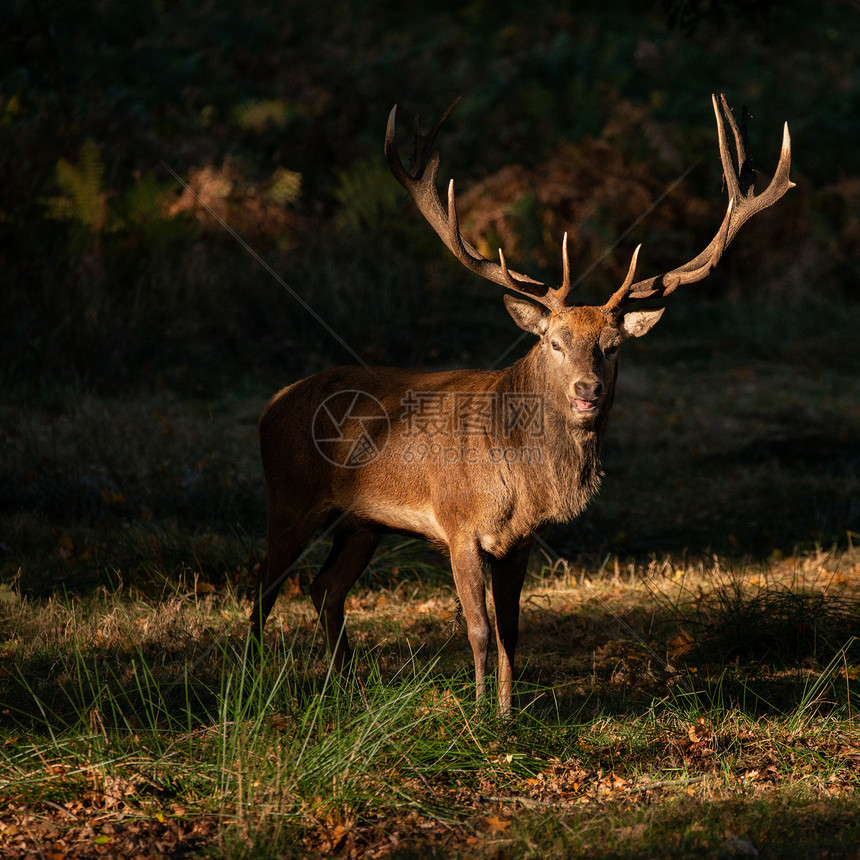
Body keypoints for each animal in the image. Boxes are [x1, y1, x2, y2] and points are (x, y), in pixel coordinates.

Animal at [252, 94, 796, 716]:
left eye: (612, 346)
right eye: (555, 342)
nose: (588, 389)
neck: (519, 479)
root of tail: (271, 406)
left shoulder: (520, 541)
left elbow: (512, 629)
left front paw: (510, 713)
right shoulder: (458, 524)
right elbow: (478, 629)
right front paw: (477, 714)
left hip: (363, 522)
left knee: (324, 588)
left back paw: (347, 690)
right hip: (289, 498)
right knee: (263, 587)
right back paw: (252, 681)